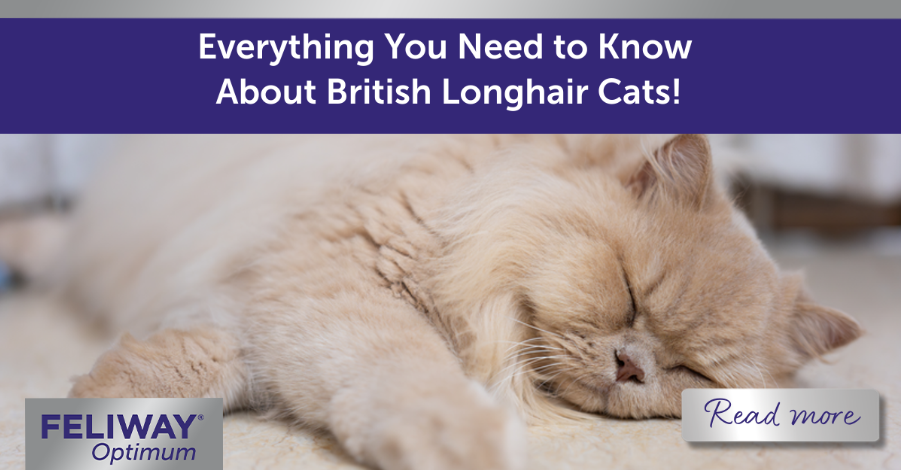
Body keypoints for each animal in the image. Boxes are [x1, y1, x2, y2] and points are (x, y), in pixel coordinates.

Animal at [7, 134, 860, 470]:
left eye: (691, 373)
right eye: (626, 293)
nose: (628, 366)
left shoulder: (265, 307)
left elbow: (189, 367)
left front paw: (98, 403)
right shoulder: (334, 276)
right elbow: (405, 371)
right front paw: (462, 441)